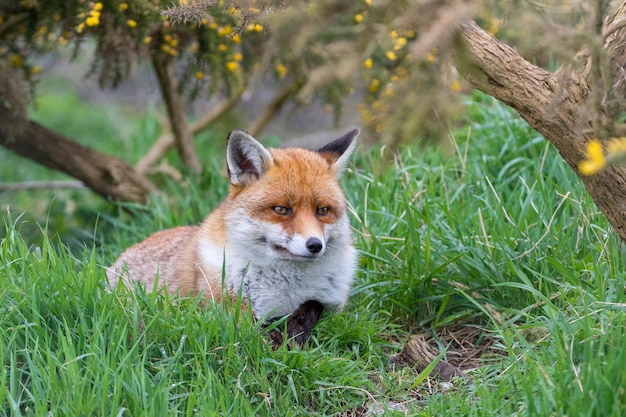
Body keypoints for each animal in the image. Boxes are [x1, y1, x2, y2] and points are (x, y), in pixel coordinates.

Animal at [108, 128, 356, 334]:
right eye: (281, 209)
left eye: (323, 210)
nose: (314, 245)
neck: (288, 288)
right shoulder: (227, 307)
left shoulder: (333, 304)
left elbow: (310, 310)